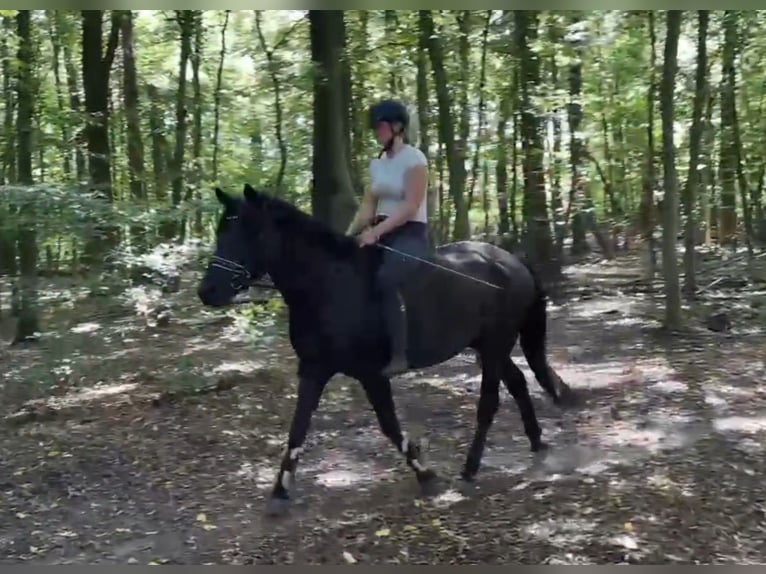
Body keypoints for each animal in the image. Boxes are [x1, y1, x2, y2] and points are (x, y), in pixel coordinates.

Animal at [197, 183, 575, 516]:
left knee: (490, 403)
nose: (207, 292)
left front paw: (427, 474)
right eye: (221, 232)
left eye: (248, 233)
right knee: (519, 383)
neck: (328, 285)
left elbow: (390, 426)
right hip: (487, 346)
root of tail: (512, 262)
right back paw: (537, 443)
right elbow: (297, 429)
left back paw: (470, 469)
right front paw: (279, 493)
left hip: (495, 345)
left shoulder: (371, 374)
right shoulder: (314, 369)